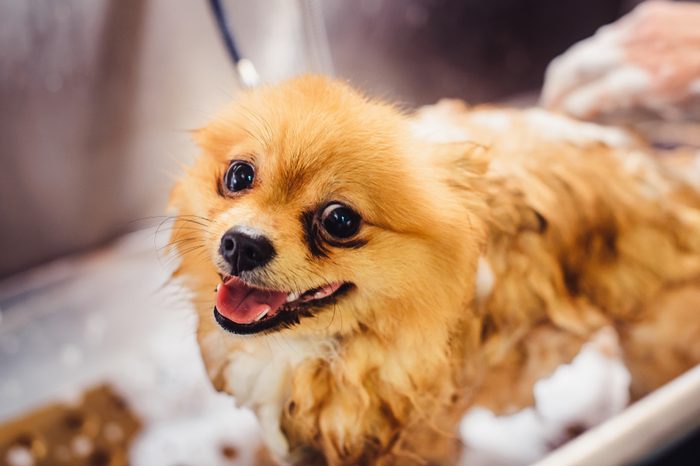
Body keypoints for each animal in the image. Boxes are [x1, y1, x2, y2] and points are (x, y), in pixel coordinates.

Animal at [168, 74, 700, 464]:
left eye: (340, 220)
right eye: (239, 175)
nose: (243, 245)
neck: (322, 350)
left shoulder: (415, 442)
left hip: (656, 347)